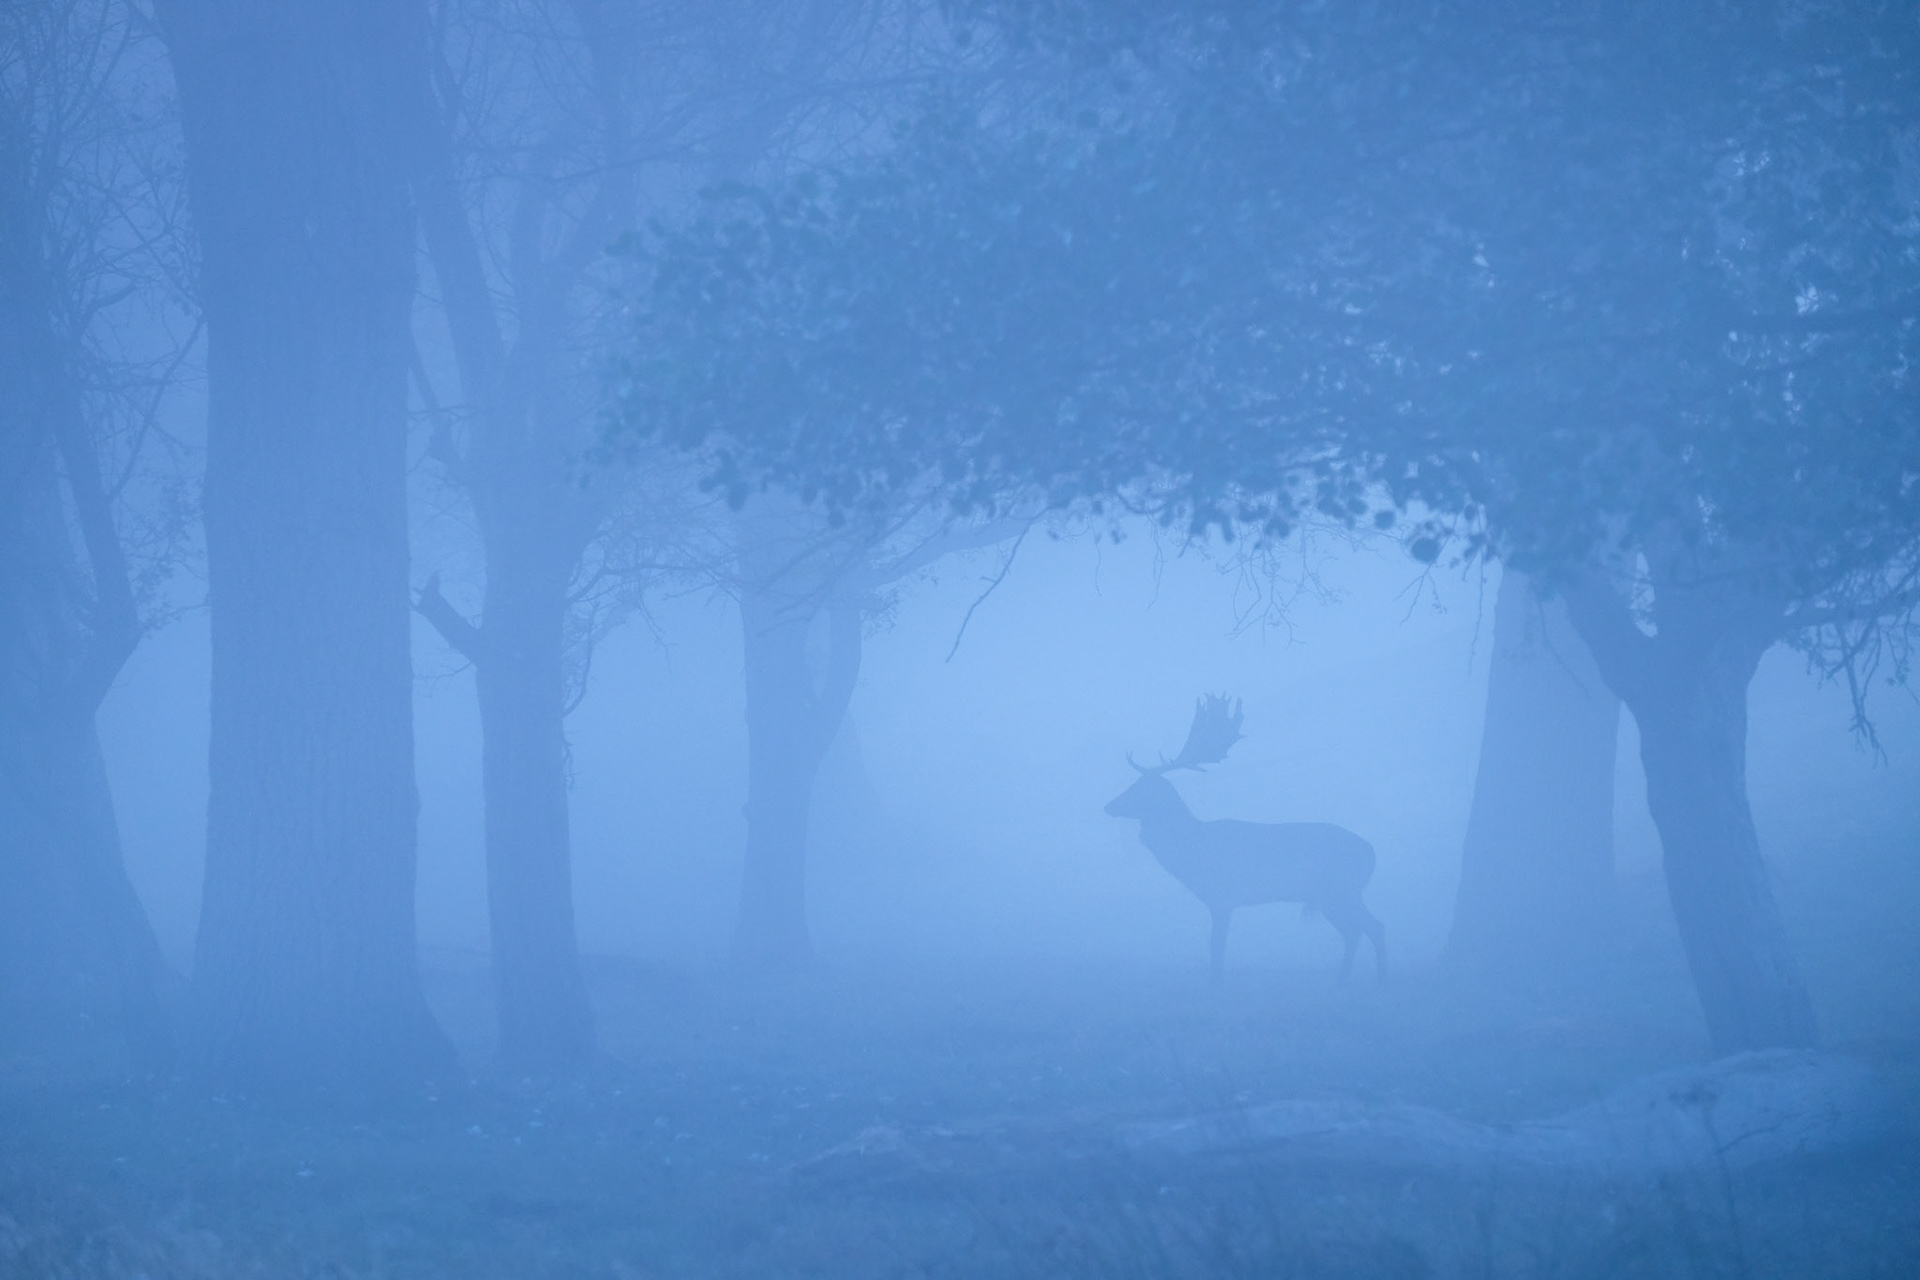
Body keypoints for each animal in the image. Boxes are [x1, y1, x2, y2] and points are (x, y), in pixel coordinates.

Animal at [1104, 695, 1386, 986]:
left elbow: (1217, 946)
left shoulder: (1223, 895)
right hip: (1330, 895)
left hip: (1342, 889)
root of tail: (1372, 853)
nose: (1108, 805)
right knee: (1356, 931)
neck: (1193, 848)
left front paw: (1215, 982)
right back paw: (1347, 980)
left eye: (1141, 788)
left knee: (1372, 927)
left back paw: (1373, 979)